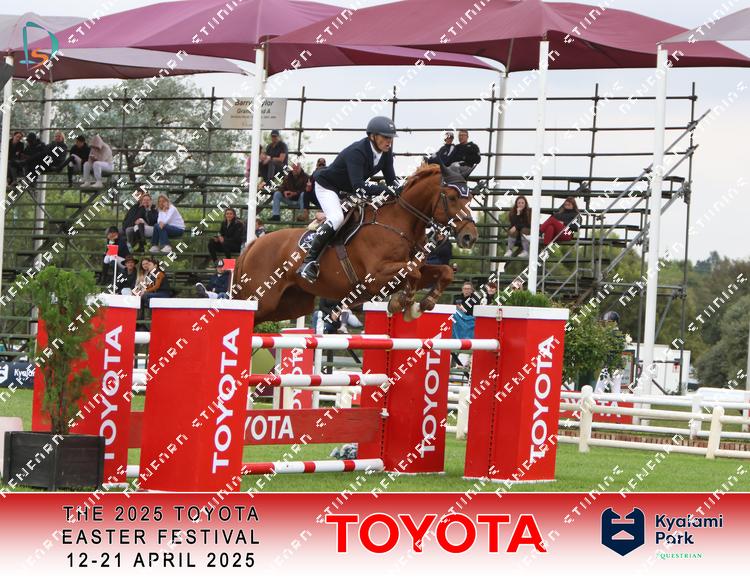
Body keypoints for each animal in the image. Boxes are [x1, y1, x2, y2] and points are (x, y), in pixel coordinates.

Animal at [233, 164, 477, 324]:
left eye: (470, 197)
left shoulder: (416, 268)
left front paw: (422, 305)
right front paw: (403, 303)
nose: (470, 237)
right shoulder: (375, 277)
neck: (399, 223)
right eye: (452, 198)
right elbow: (412, 273)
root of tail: (253, 245)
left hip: (290, 305)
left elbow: (444, 271)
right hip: (262, 299)